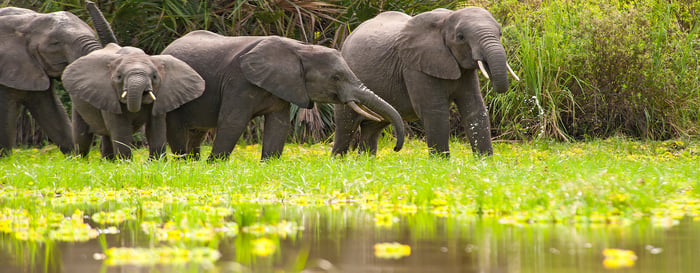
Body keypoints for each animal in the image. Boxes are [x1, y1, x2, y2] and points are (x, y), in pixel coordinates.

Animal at [0, 5, 113, 156]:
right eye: (55, 43)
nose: (88, 3)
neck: (25, 22)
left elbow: (52, 112)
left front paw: (73, 157)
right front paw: (5, 158)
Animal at [61, 43, 205, 159]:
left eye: (154, 77)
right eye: (119, 77)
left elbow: (155, 127)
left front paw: (156, 163)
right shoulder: (109, 95)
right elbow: (121, 128)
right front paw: (126, 164)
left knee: (106, 136)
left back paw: (107, 162)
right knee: (82, 135)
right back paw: (82, 161)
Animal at [163, 30, 404, 160]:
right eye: (336, 77)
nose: (395, 148)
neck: (299, 49)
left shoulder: (283, 85)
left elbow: (279, 125)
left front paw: (267, 164)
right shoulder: (238, 82)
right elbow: (233, 122)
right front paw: (214, 165)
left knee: (197, 132)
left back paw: (193, 162)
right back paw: (185, 163)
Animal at [334, 7, 520, 156]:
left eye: (500, 33)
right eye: (460, 37)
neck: (445, 19)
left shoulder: (464, 71)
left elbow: (475, 108)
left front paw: (484, 163)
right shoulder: (414, 67)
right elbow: (434, 111)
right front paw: (441, 164)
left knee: (373, 127)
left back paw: (366, 162)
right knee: (346, 126)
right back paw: (339, 162)